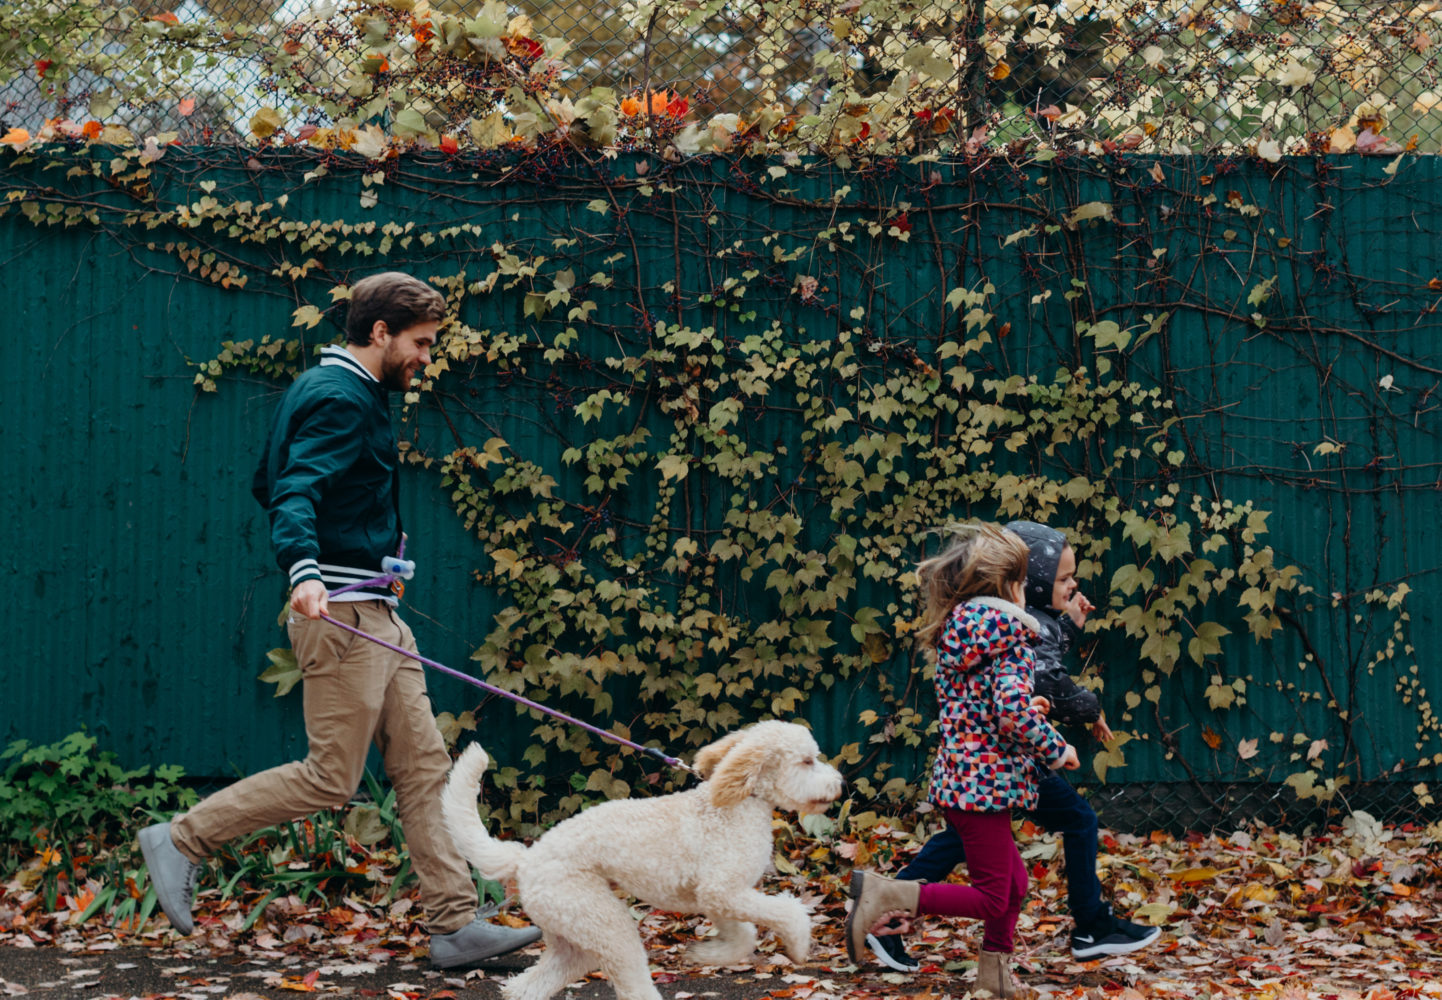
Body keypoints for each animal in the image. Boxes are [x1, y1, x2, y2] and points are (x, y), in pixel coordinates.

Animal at [438, 718, 842, 998]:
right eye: (807, 761)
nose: (839, 784)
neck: (736, 803)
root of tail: (527, 858)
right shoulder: (723, 891)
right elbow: (785, 913)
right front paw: (799, 943)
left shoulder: (718, 898)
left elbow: (742, 936)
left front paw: (707, 955)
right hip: (605, 924)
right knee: (631, 984)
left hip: (572, 931)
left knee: (529, 984)